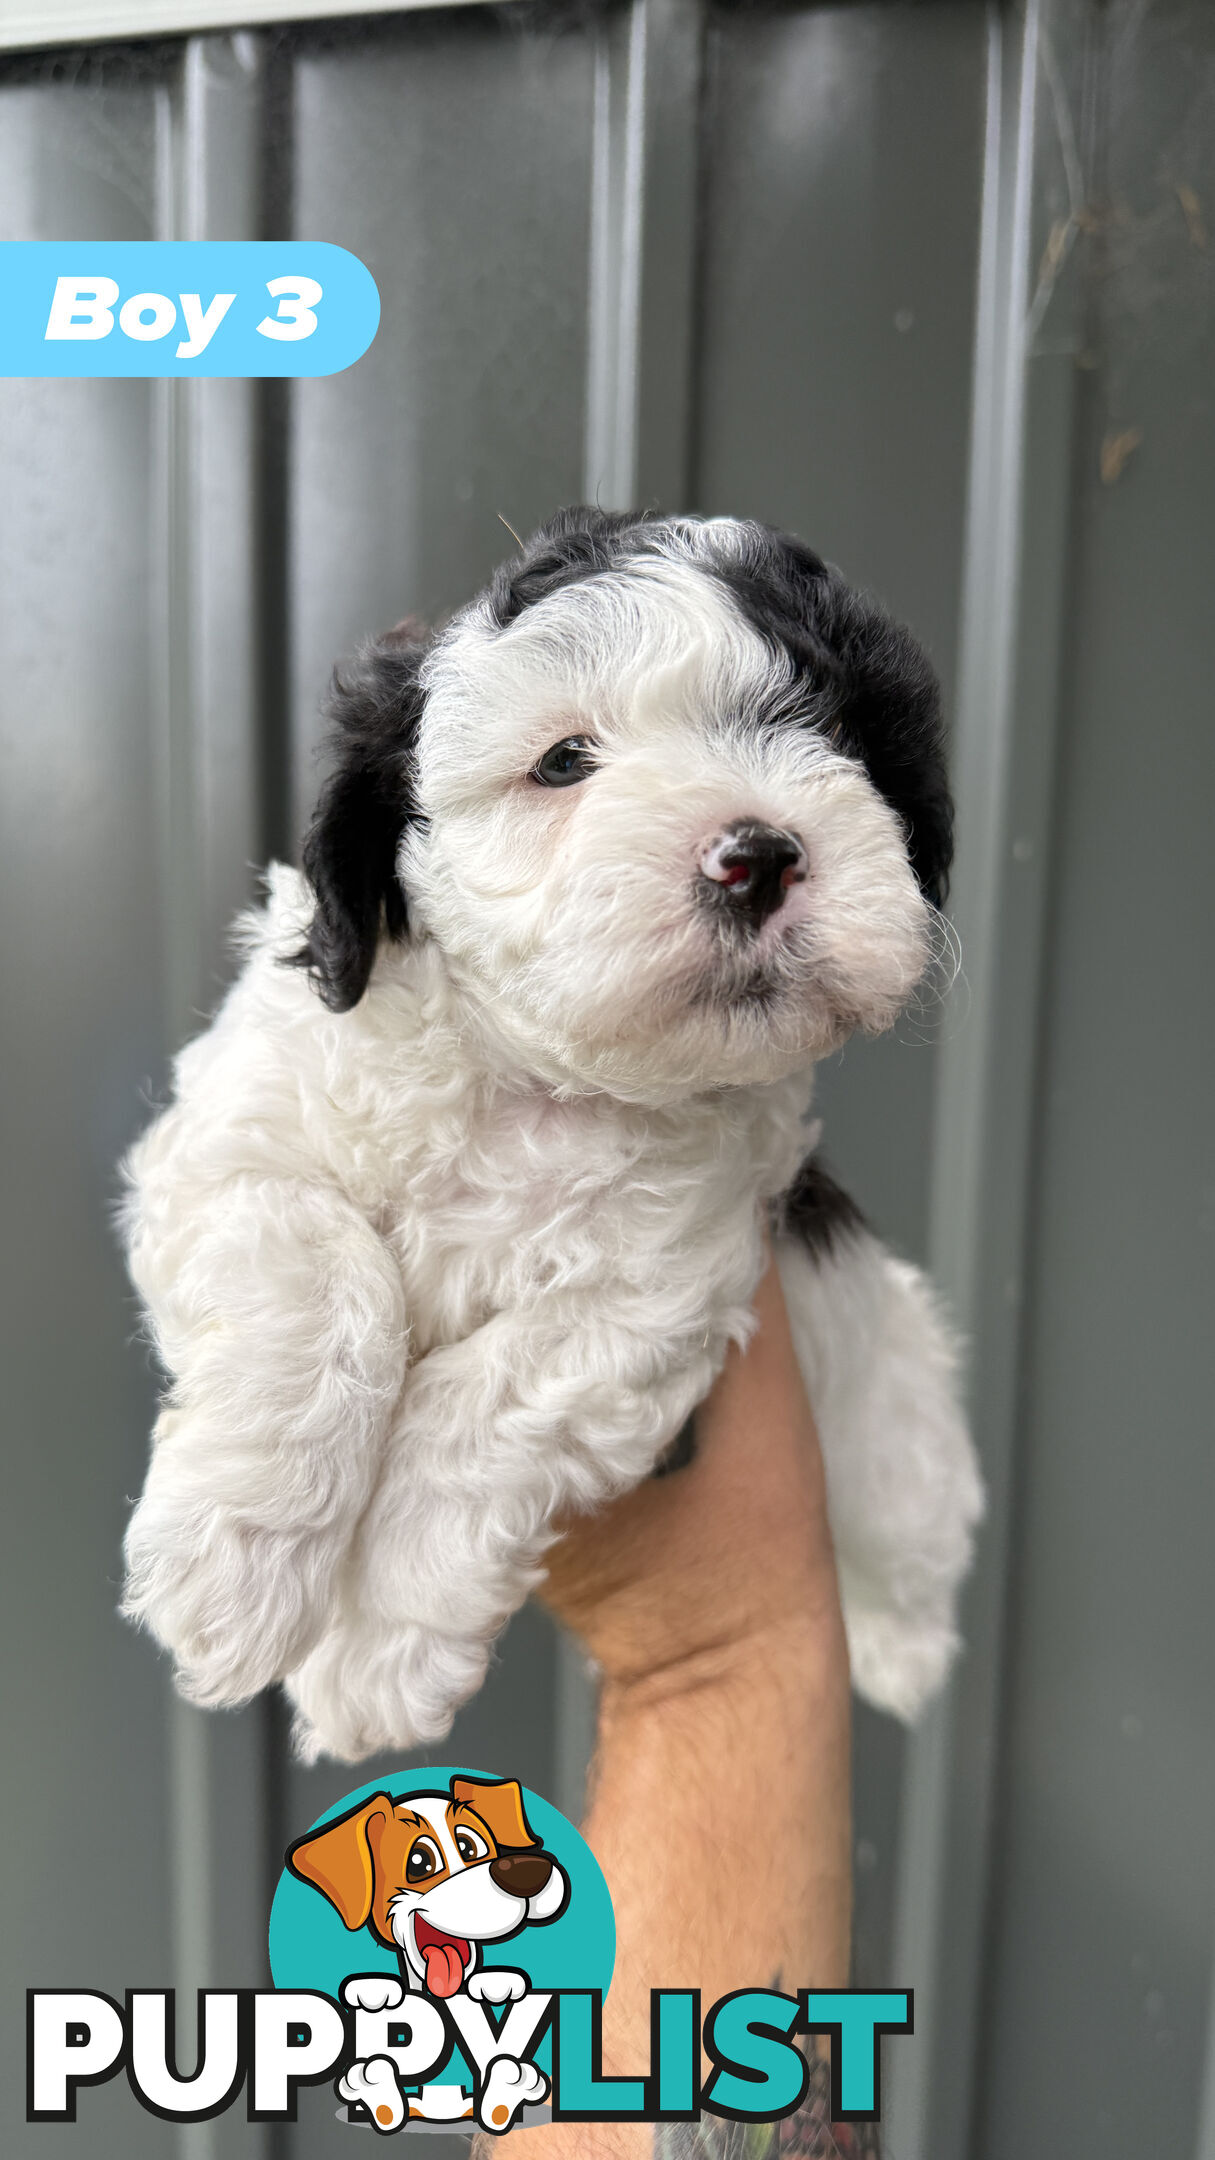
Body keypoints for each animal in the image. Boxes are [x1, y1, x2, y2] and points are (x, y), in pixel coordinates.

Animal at [118, 505, 977, 1753]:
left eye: (835, 733)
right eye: (565, 761)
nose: (758, 853)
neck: (527, 1073)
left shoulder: (661, 1285)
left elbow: (484, 1406)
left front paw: (375, 1643)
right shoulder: (232, 1142)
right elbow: (327, 1276)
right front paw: (231, 1569)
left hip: (898, 1400)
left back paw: (904, 1648)